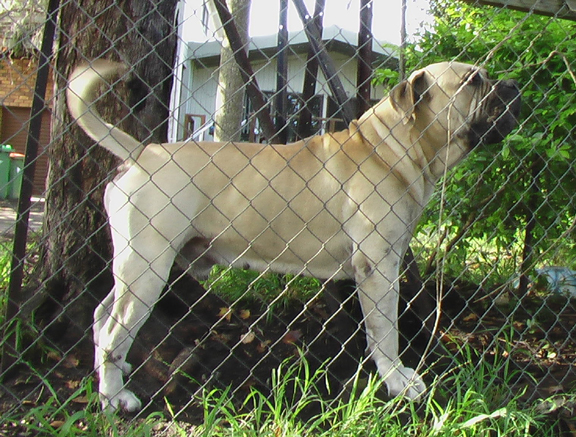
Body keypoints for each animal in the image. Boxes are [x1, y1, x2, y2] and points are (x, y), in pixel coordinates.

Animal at [67, 59, 520, 410]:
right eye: (473, 80)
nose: (513, 84)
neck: (392, 147)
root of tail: (143, 152)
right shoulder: (378, 268)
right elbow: (385, 330)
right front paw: (396, 379)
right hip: (148, 268)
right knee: (115, 329)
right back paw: (115, 396)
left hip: (134, 268)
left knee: (102, 315)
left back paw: (114, 370)